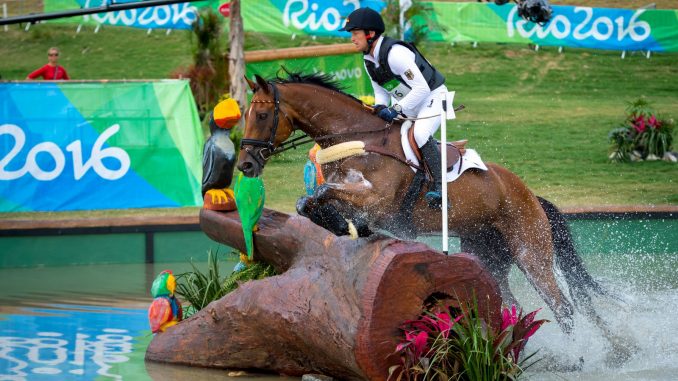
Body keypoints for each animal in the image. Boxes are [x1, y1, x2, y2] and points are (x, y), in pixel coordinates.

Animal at [236, 71, 620, 342]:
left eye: (263, 114)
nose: (245, 165)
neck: (354, 139)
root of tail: (530, 195)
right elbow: (309, 201)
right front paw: (348, 226)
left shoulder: (377, 200)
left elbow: (318, 195)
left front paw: (349, 224)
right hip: (487, 254)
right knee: (513, 306)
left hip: (530, 252)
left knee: (562, 307)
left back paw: (576, 358)